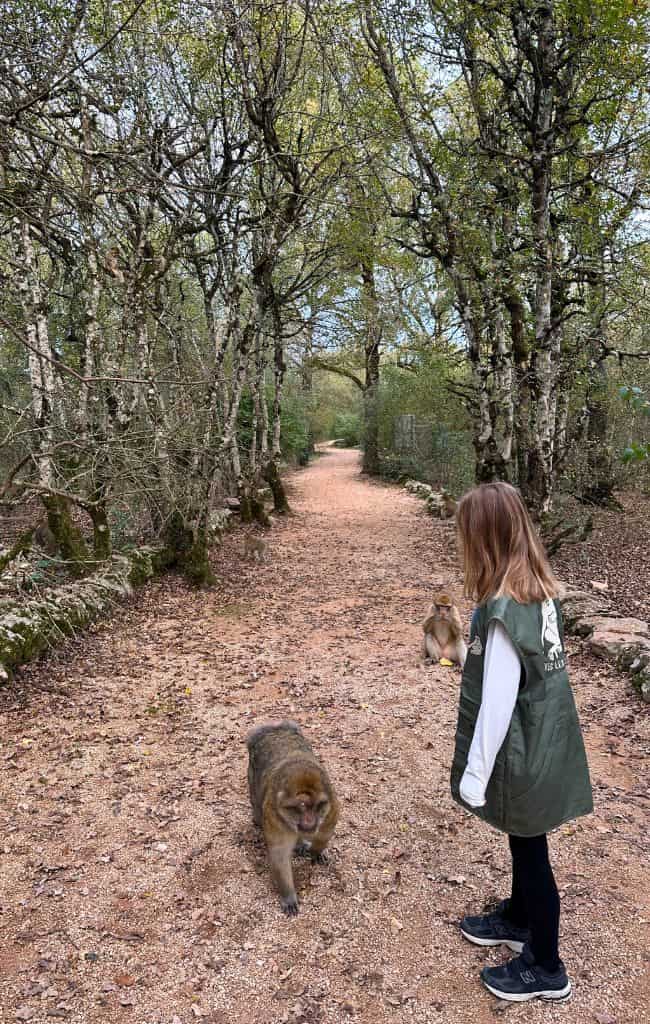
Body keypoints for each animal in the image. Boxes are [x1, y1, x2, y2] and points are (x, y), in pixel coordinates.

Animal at [245, 721, 339, 916]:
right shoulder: (274, 817)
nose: (309, 822)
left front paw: (316, 852)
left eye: (316, 806)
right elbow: (279, 854)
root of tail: (275, 728)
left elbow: (325, 833)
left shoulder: (331, 809)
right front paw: (288, 896)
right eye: (299, 808)